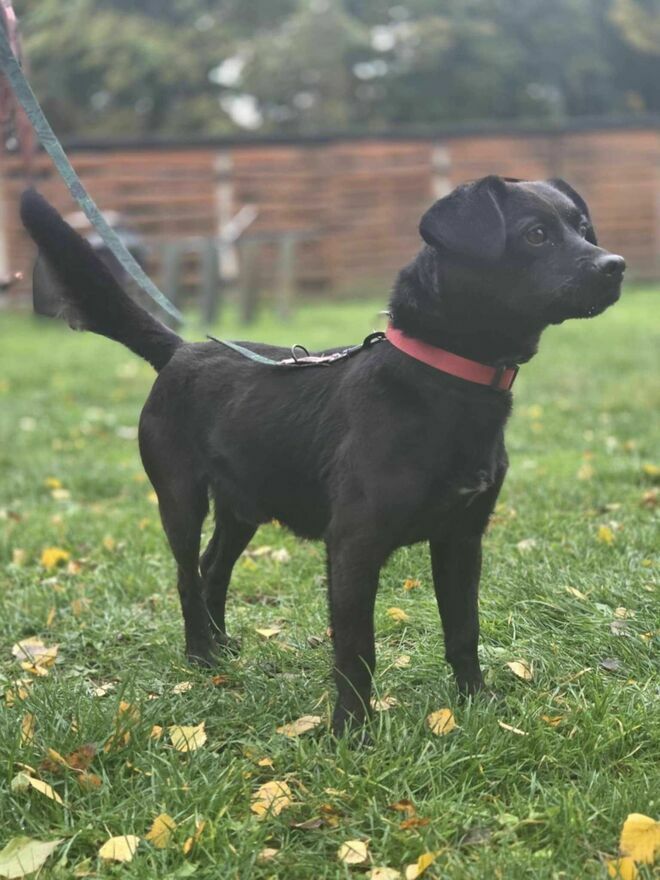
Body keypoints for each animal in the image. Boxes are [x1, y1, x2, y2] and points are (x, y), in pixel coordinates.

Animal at [20, 176, 625, 735]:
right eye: (536, 234)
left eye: (583, 228)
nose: (615, 265)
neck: (441, 382)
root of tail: (179, 350)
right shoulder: (354, 544)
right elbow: (357, 649)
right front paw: (350, 732)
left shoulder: (462, 538)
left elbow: (463, 629)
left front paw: (477, 704)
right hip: (180, 498)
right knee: (188, 577)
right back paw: (200, 656)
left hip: (243, 505)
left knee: (214, 569)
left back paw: (222, 647)